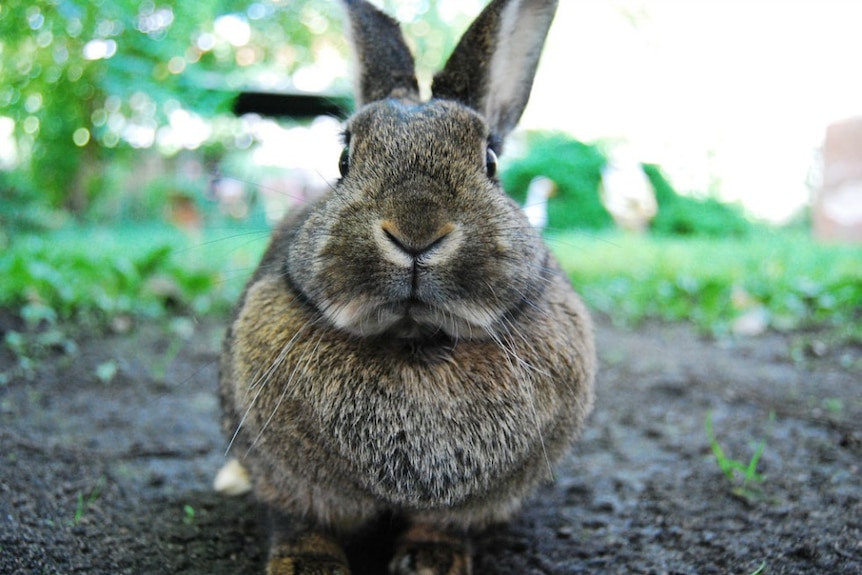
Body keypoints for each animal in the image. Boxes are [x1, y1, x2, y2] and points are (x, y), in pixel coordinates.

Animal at [216, 2, 596, 572]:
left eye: (491, 161)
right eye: (344, 160)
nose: (416, 230)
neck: (414, 341)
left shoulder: (469, 505)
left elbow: (441, 524)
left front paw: (433, 560)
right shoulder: (285, 480)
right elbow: (299, 521)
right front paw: (307, 565)